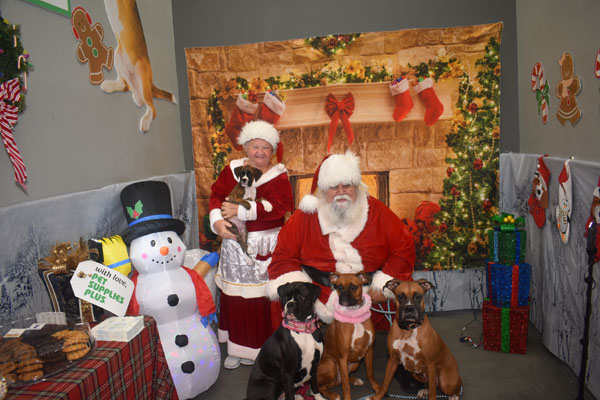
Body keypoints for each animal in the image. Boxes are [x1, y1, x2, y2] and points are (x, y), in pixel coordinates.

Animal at [314, 272, 380, 400]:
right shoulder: (343, 357)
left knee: (339, 381)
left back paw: (354, 380)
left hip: (356, 362)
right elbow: (345, 386)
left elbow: (370, 373)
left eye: (353, 287)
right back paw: (332, 394)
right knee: (322, 386)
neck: (354, 316)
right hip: (331, 365)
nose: (344, 294)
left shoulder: (369, 350)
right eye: (339, 287)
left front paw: (376, 388)